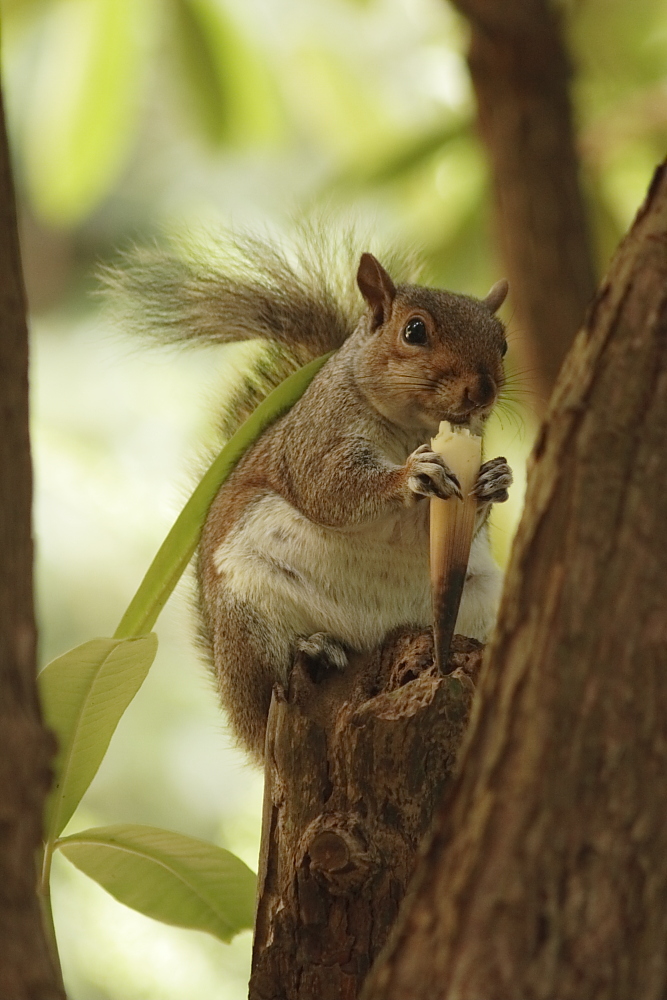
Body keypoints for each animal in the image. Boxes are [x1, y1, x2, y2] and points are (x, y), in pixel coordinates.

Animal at [103, 229, 512, 756]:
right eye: (414, 331)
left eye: (503, 344)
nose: (482, 392)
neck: (411, 430)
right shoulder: (316, 438)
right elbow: (331, 487)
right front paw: (409, 476)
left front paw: (495, 480)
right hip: (248, 613)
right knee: (271, 678)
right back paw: (313, 648)